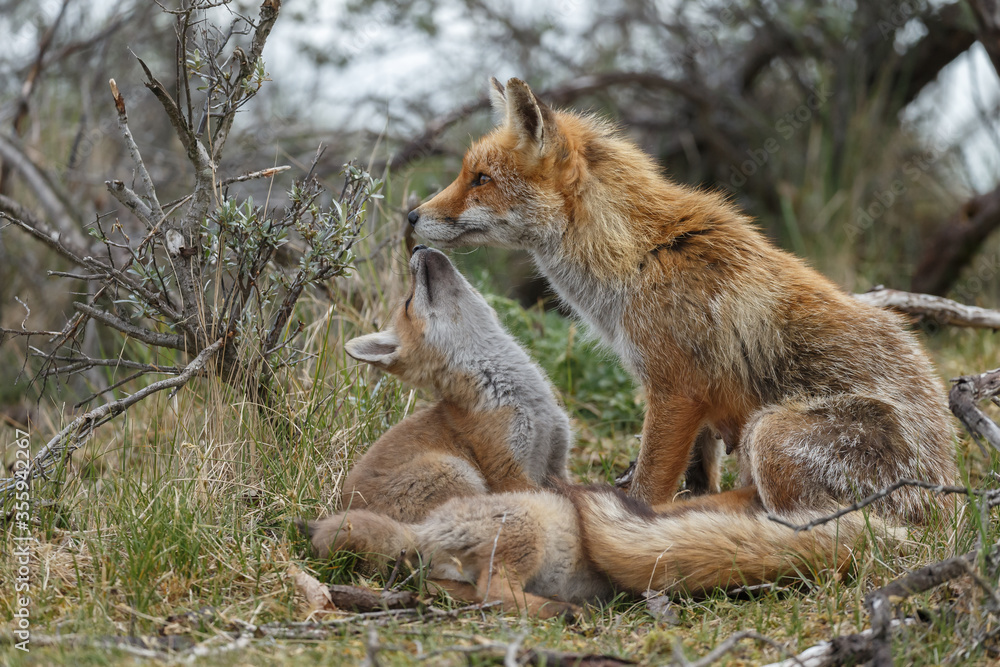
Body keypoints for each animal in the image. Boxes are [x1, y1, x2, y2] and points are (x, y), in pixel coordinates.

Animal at [332, 245, 571, 523]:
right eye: (408, 303)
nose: (417, 247)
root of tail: (342, 509)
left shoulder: (557, 461)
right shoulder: (508, 472)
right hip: (458, 472)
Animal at [407, 76, 956, 523]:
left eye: (481, 179)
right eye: (466, 173)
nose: (410, 215)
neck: (638, 258)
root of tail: (942, 503)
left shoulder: (675, 390)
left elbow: (650, 485)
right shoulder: (696, 405)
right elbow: (698, 474)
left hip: (770, 432)